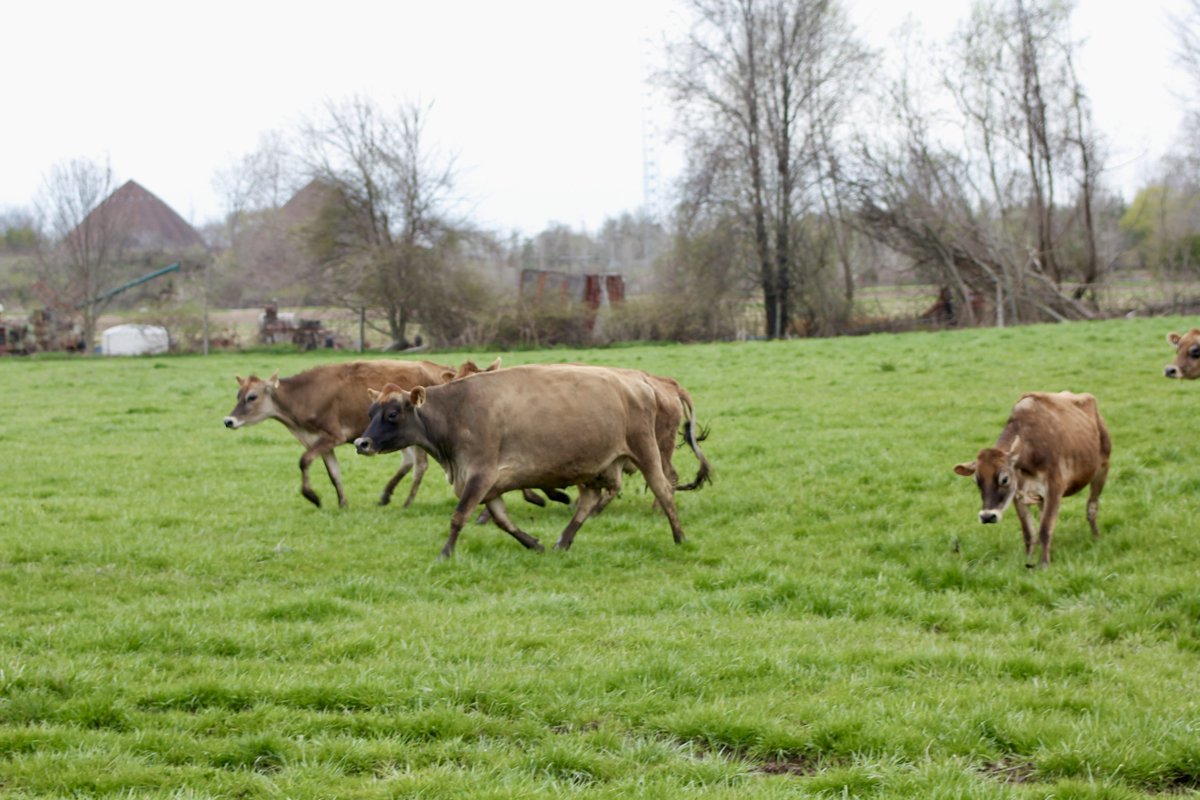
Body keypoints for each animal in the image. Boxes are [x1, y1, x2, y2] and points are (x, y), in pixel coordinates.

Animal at [223, 359, 455, 508]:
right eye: (238, 395)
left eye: (252, 397)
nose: (228, 421)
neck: (304, 397)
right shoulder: (318, 441)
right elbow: (333, 473)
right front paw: (342, 503)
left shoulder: (332, 435)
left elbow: (304, 461)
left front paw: (313, 497)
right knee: (408, 462)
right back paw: (385, 495)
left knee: (420, 465)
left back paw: (407, 502)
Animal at [353, 364, 687, 558]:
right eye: (370, 412)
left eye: (392, 414)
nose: (361, 443)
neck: (456, 412)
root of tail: (640, 383)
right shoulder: (490, 485)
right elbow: (503, 520)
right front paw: (533, 543)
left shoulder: (480, 474)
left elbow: (459, 516)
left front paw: (445, 553)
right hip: (596, 465)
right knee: (589, 500)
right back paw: (563, 540)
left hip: (646, 451)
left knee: (664, 490)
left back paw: (680, 537)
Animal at [954, 391, 1111, 567]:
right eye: (976, 480)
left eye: (1005, 479)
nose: (987, 516)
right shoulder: (1018, 496)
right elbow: (1029, 532)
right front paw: (1029, 560)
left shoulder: (1055, 489)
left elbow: (1045, 528)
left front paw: (1044, 564)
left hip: (1102, 469)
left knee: (1092, 507)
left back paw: (1096, 537)